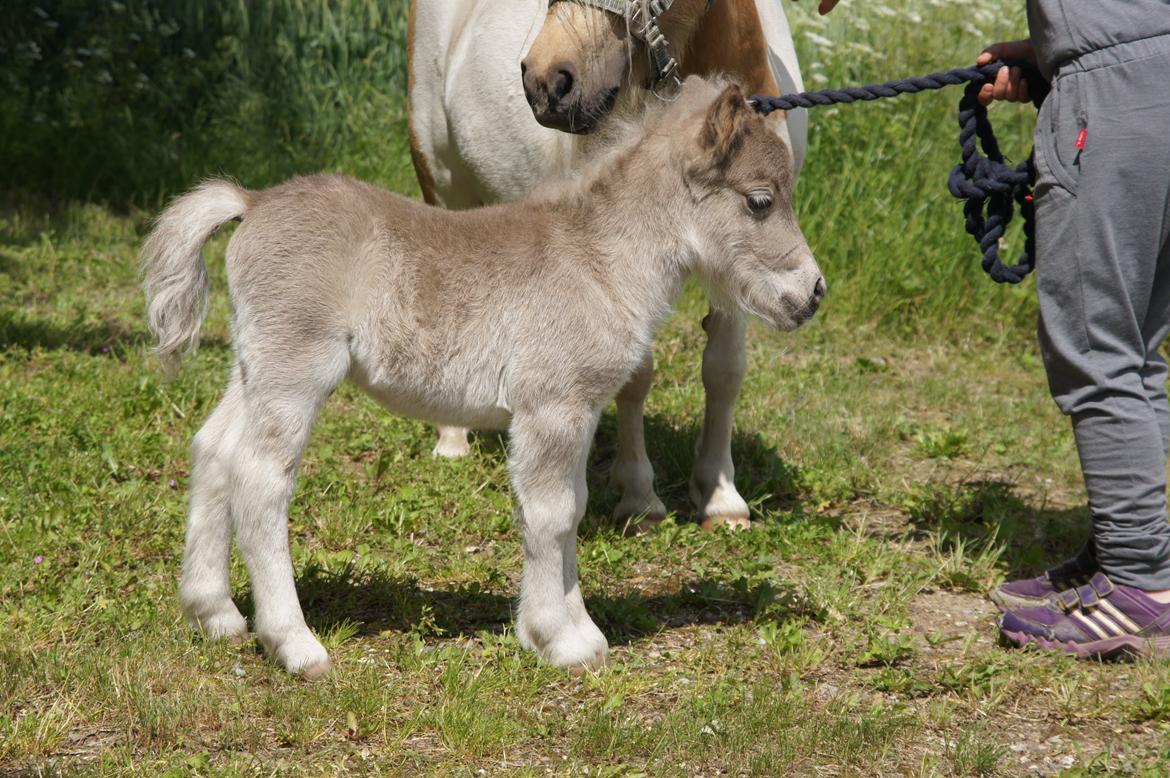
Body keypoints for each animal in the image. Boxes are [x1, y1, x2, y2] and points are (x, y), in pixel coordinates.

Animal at [143, 77, 823, 673]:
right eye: (760, 201)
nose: (813, 294)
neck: (599, 262)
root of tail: (253, 203)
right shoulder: (551, 407)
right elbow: (552, 514)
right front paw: (559, 642)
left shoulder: (577, 411)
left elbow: (571, 507)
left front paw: (575, 633)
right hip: (295, 370)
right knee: (260, 479)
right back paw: (295, 645)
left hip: (254, 366)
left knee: (214, 449)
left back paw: (215, 615)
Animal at [409, 0, 804, 528]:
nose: (546, 82)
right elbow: (635, 373)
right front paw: (639, 495)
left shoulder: (739, 262)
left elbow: (725, 371)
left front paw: (720, 496)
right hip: (439, 173)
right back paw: (453, 439)